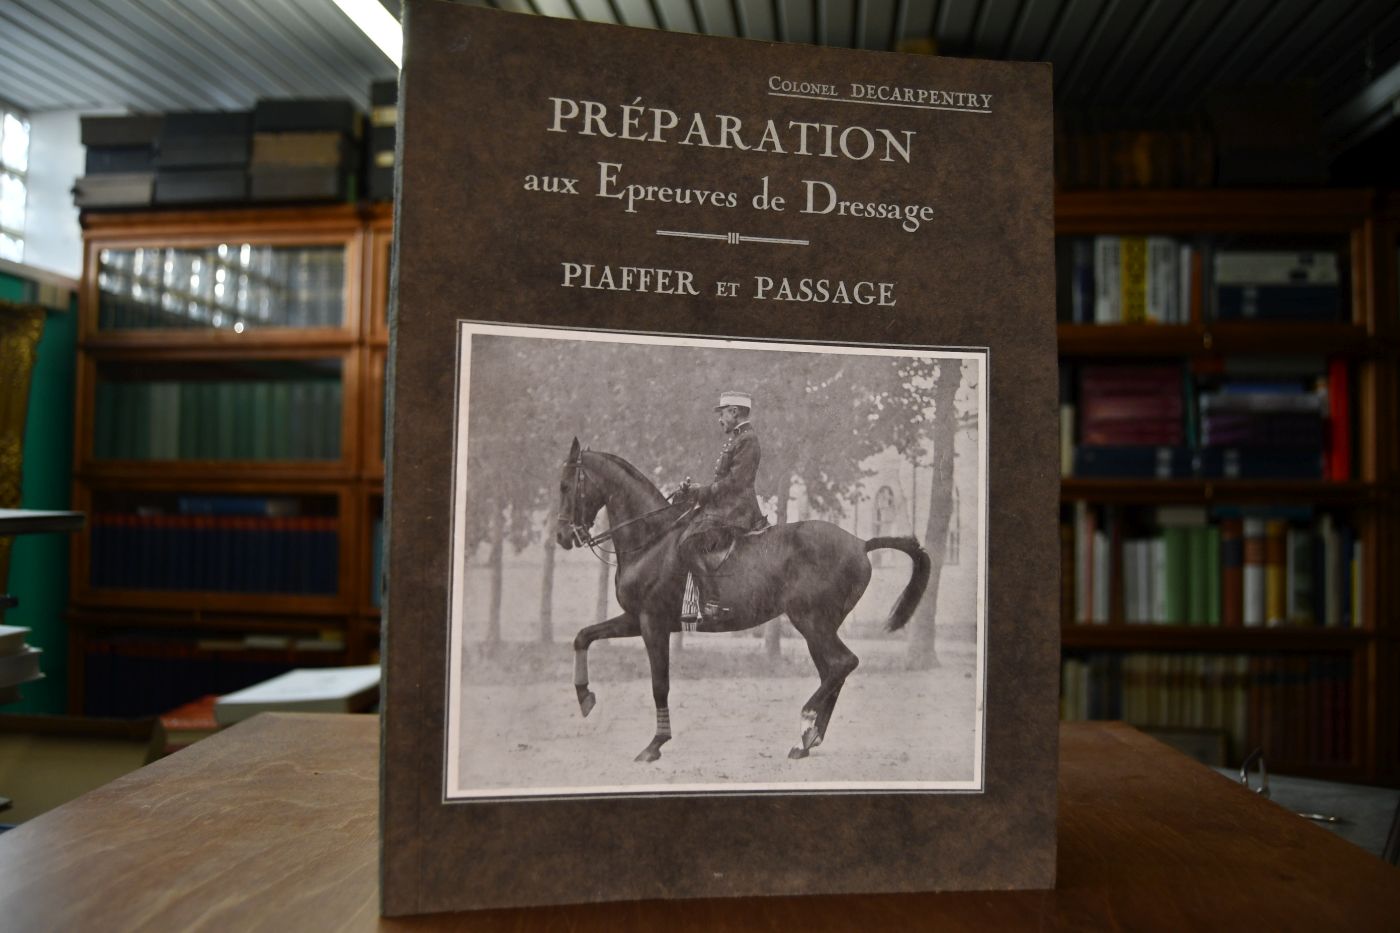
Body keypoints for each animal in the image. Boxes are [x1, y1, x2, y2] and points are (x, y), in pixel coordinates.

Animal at [556, 437, 932, 763]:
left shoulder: (652, 624)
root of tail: (860, 543)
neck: (652, 541)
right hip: (818, 626)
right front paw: (584, 696)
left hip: (811, 621)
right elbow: (582, 637)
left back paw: (806, 722)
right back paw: (807, 740)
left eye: (565, 486)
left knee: (842, 664)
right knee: (833, 670)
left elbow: (659, 685)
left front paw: (655, 745)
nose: (561, 537)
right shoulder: (635, 619)